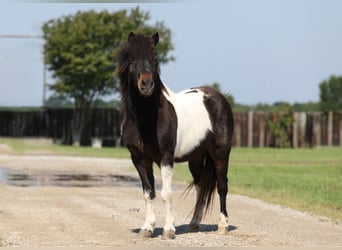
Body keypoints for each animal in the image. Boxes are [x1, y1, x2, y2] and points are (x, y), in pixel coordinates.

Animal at [116, 32, 234, 239]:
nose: (147, 85)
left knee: (222, 186)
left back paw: (223, 225)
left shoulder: (165, 158)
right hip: (196, 157)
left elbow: (166, 193)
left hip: (221, 152)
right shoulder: (139, 159)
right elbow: (148, 192)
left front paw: (168, 230)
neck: (146, 119)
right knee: (200, 186)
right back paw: (194, 223)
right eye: (132, 59)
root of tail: (219, 97)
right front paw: (147, 228)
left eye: (155, 59)